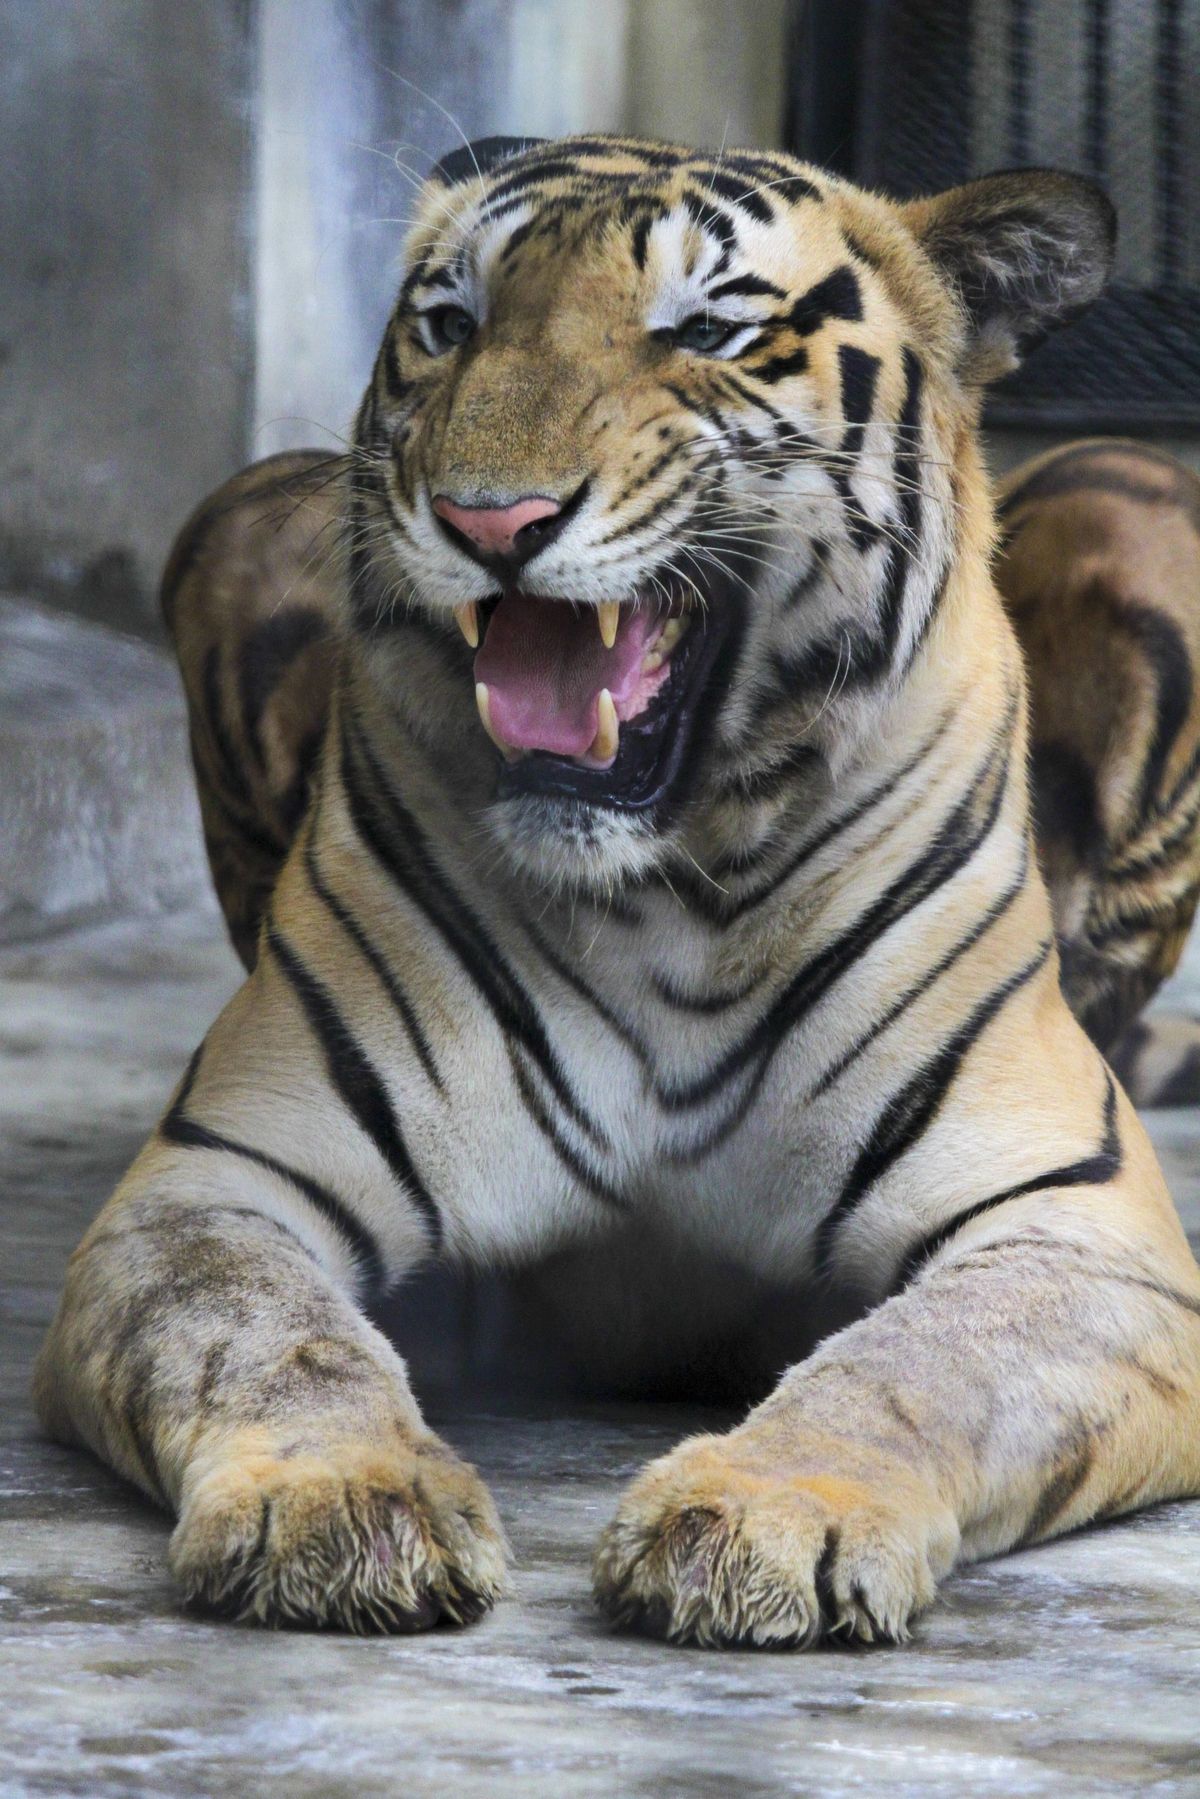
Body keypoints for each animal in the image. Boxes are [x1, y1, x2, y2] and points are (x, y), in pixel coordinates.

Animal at [32, 130, 1200, 1647]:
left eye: (704, 331)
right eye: (451, 323)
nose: (489, 518)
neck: (674, 895)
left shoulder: (1074, 1224)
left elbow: (919, 1362)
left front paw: (767, 1515)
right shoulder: (222, 1181)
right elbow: (268, 1336)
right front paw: (343, 1501)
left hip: (1136, 485)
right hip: (241, 517)